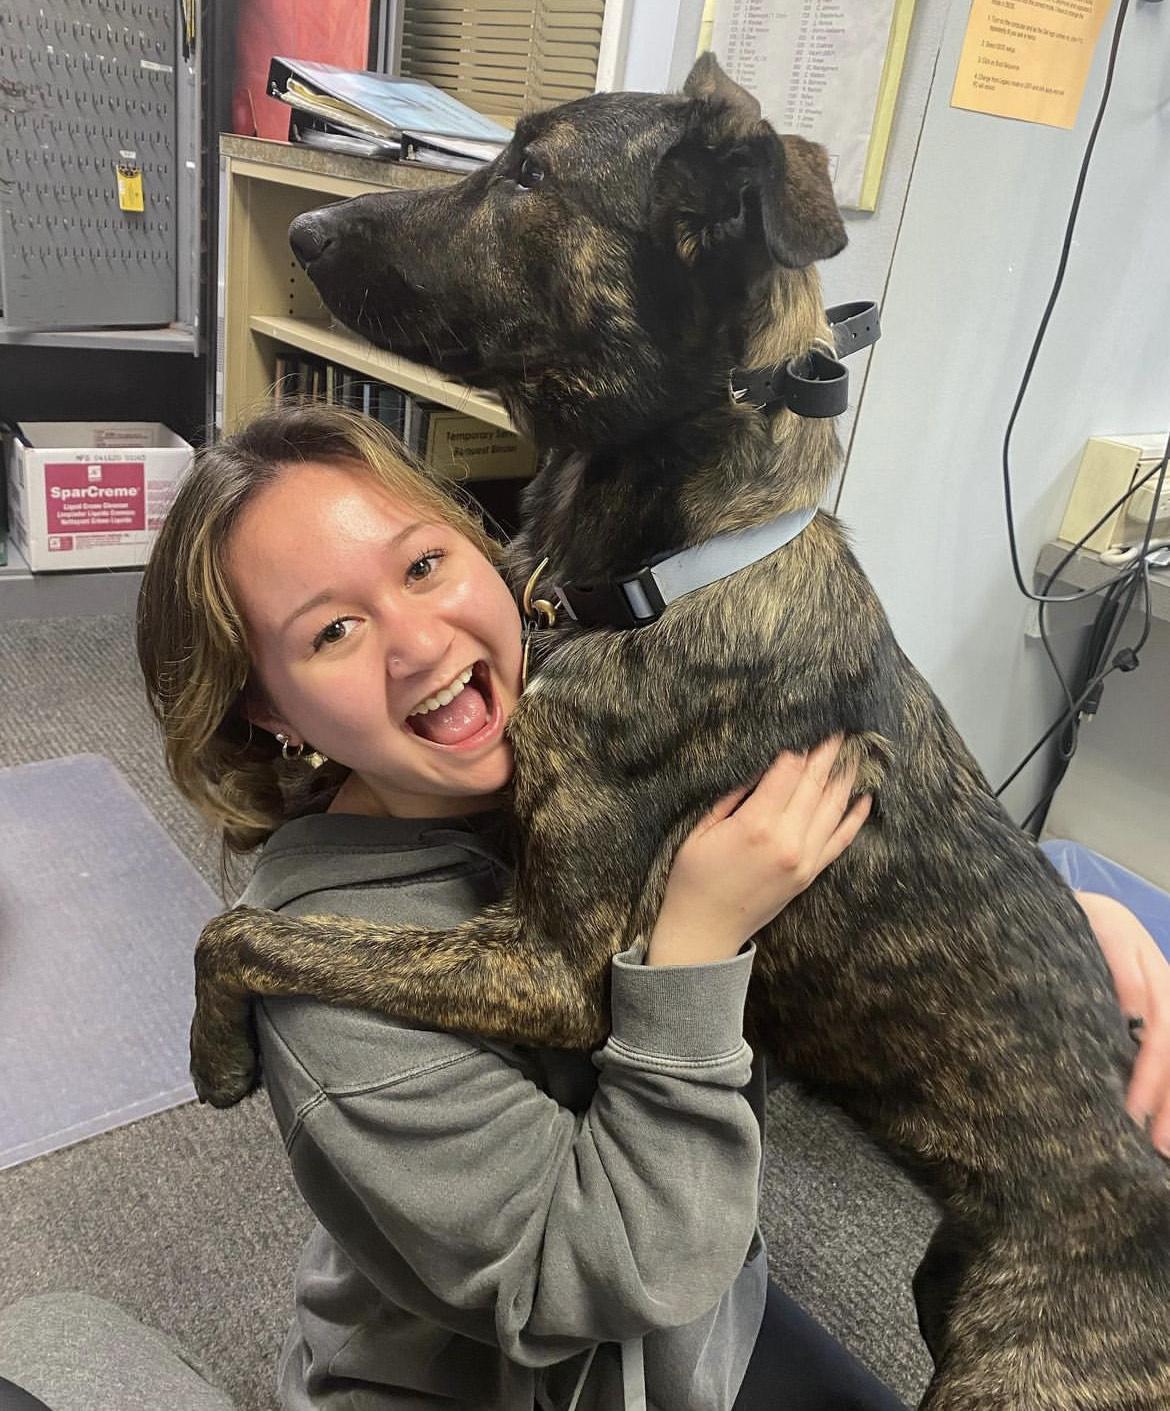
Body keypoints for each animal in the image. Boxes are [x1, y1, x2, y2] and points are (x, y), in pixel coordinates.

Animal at [191, 57, 1168, 1411]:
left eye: (530, 176)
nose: (307, 231)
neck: (661, 568)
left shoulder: (547, 965)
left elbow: (252, 931)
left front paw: (214, 1053)